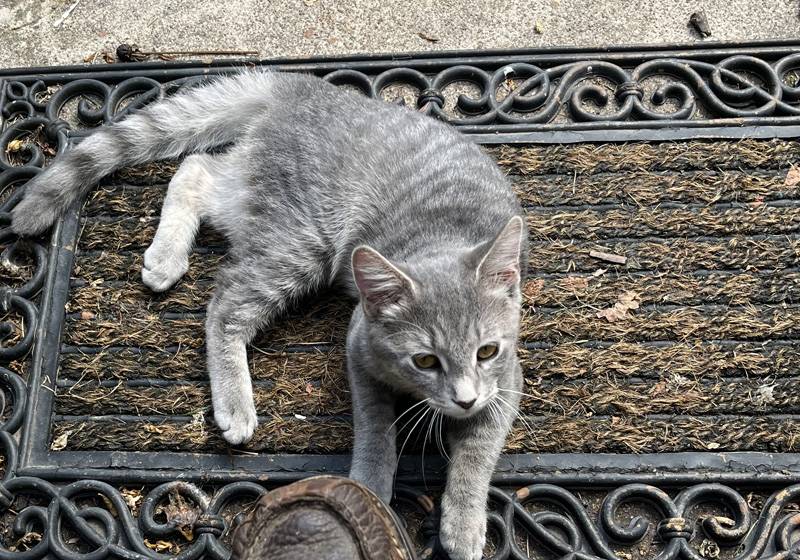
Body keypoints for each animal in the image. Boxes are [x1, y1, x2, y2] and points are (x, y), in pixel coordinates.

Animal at [12, 71, 528, 560]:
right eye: (425, 361)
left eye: (486, 351)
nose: (465, 399)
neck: (440, 239)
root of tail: (302, 89)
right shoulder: (359, 348)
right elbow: (376, 429)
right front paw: (369, 486)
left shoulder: (505, 381)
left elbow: (477, 454)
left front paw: (463, 521)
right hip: (297, 238)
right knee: (224, 304)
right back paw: (232, 397)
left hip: (257, 206)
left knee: (195, 170)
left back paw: (167, 254)